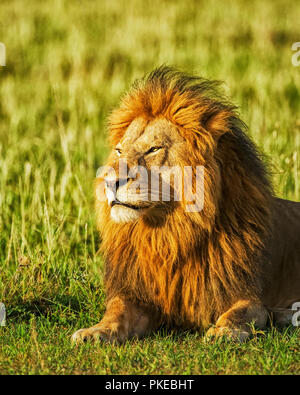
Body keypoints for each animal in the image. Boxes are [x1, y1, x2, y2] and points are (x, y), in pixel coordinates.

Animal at [72, 65, 300, 344]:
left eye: (153, 149)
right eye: (118, 151)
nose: (110, 182)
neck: (170, 234)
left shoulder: (248, 295)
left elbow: (241, 313)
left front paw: (222, 332)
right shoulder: (137, 296)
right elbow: (116, 312)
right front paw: (94, 332)